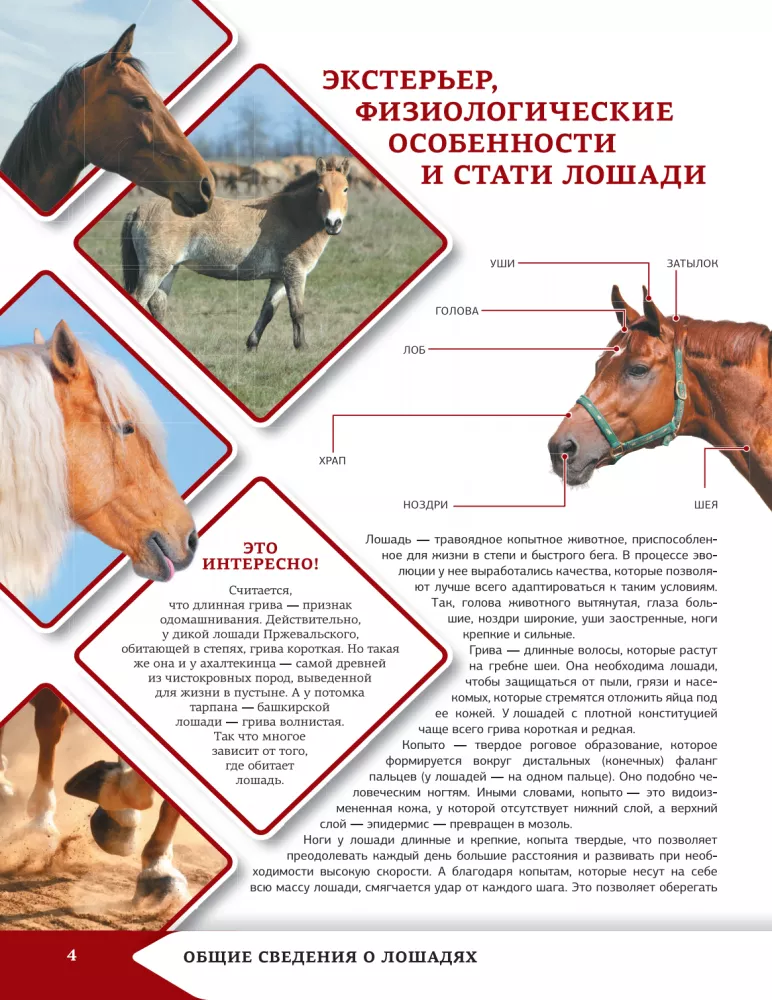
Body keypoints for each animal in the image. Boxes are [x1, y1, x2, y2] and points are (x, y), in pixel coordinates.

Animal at [121, 156, 350, 352]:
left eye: (346, 189)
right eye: (320, 189)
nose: (333, 223)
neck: (293, 214)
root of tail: (139, 210)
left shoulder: (279, 278)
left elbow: (268, 311)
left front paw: (252, 345)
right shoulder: (296, 273)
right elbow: (297, 312)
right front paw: (302, 347)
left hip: (169, 269)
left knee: (158, 305)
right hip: (155, 270)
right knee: (142, 300)